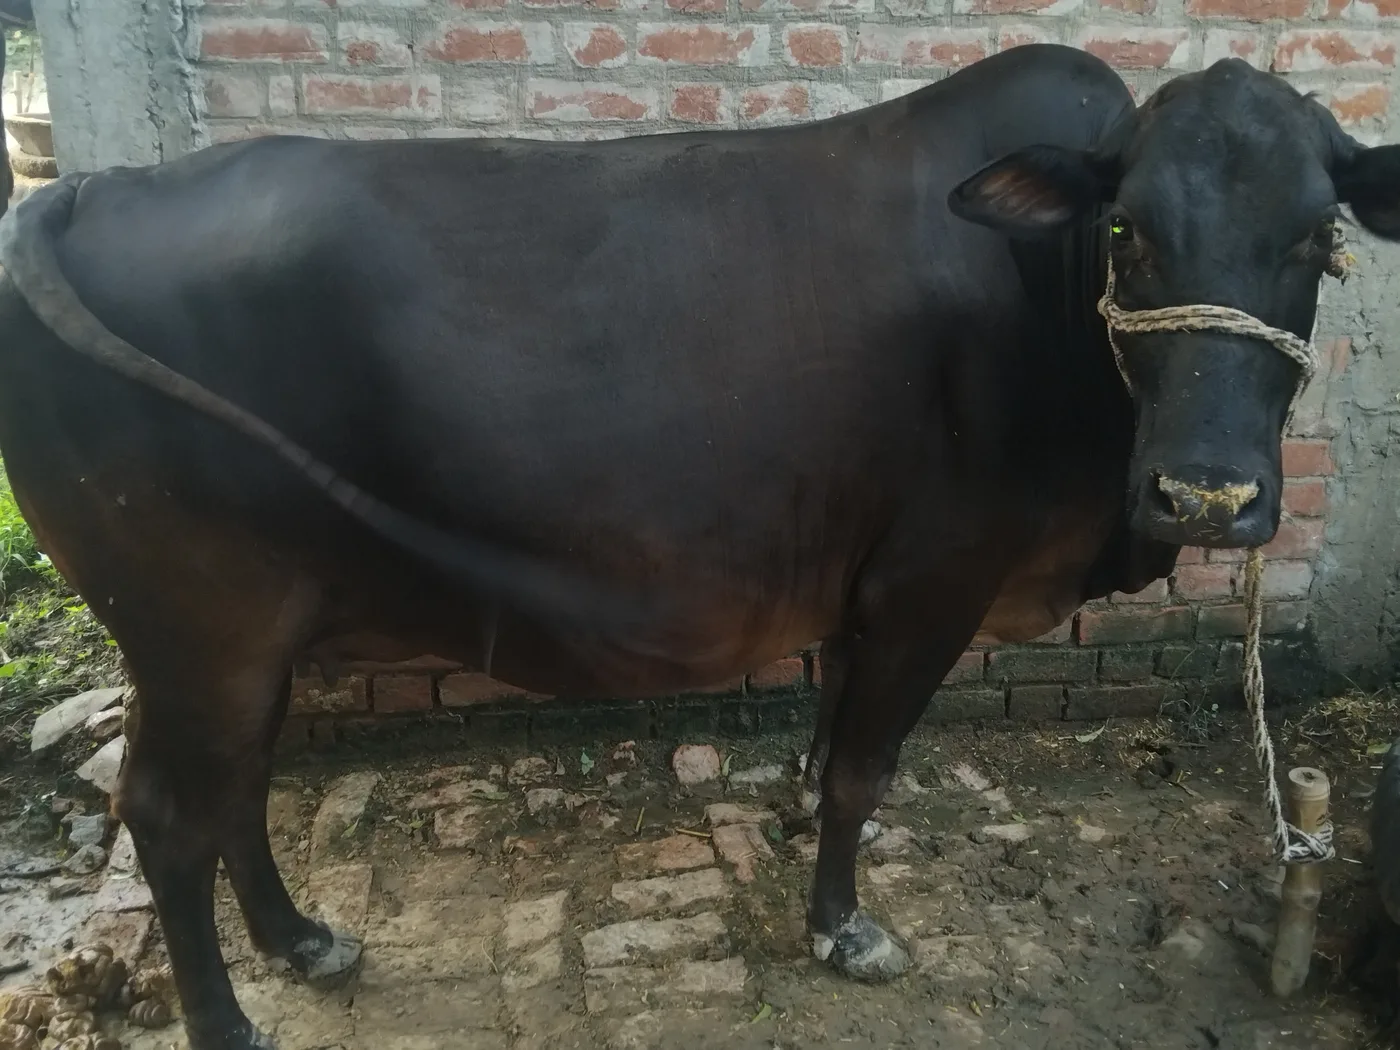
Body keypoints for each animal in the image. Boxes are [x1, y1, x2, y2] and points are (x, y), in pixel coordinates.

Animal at [0, 41, 1396, 1050]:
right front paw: (843, 929)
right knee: (168, 812)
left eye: (1317, 236)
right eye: (1125, 230)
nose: (1205, 497)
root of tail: (82, 188)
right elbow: (862, 771)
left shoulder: (858, 591)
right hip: (201, 623)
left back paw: (301, 942)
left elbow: (826, 746)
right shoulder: (928, 583)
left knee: (231, 789)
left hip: (232, 635)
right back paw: (230, 1018)